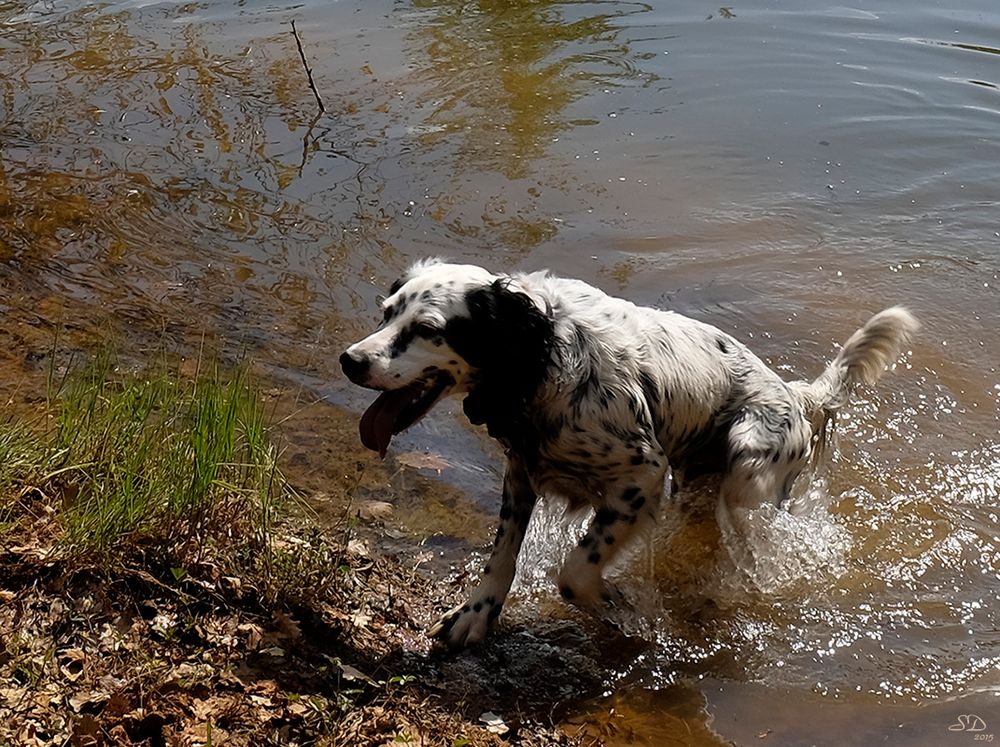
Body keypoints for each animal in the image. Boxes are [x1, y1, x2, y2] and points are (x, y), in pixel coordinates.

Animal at [340, 260, 916, 652]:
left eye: (428, 330)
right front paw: (474, 615)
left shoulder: (642, 474)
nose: (350, 360)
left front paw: (623, 609)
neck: (540, 359)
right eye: (387, 314)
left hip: (747, 472)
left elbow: (575, 572)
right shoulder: (522, 473)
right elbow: (501, 556)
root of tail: (799, 396)